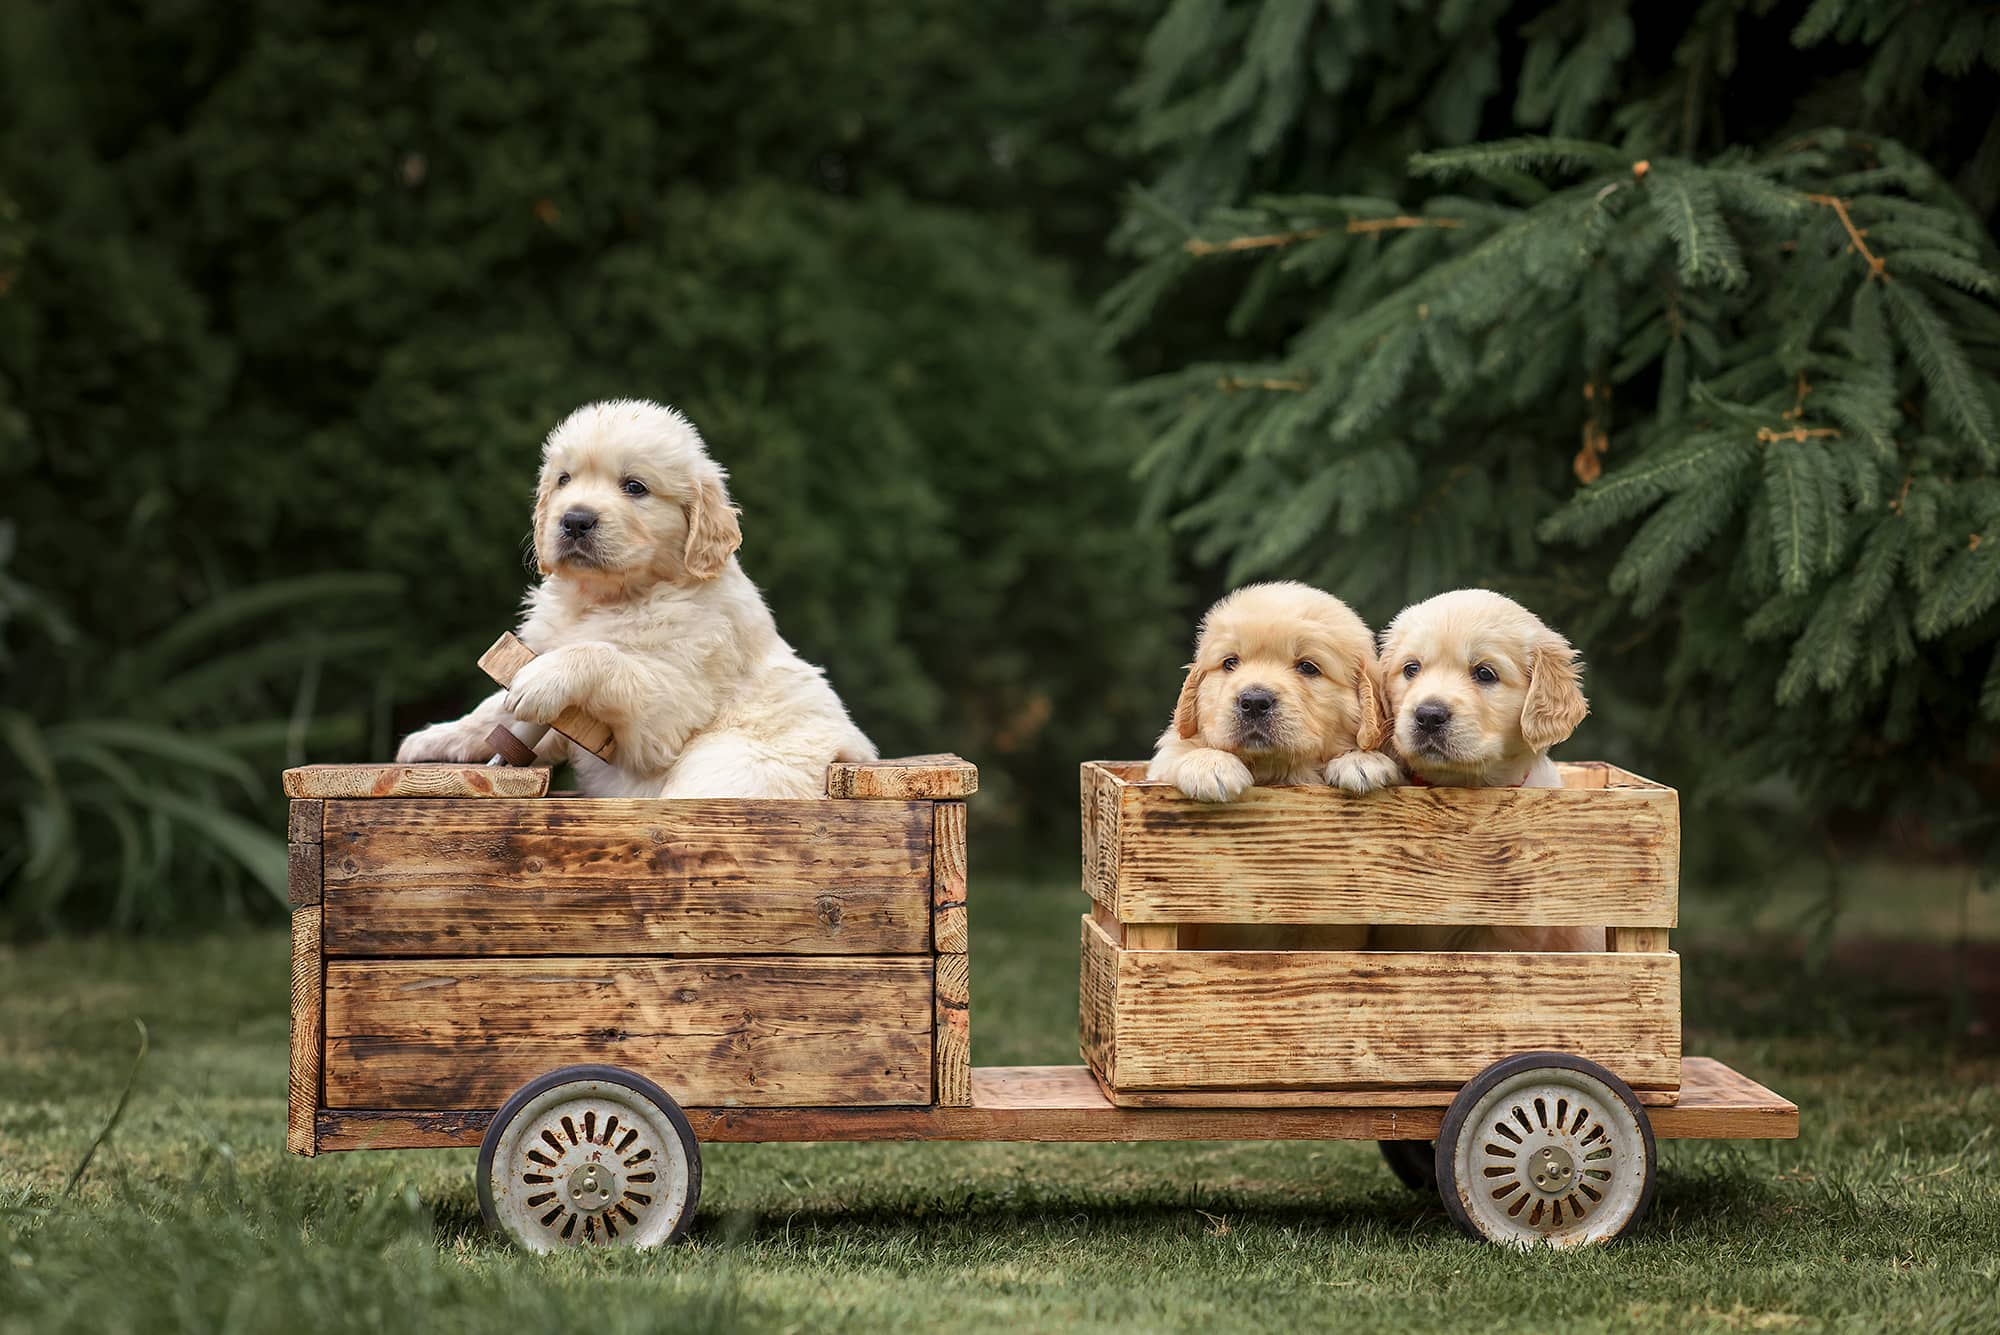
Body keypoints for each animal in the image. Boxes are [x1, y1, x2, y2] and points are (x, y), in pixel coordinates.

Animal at [398, 395, 876, 791]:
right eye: (564, 480)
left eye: (634, 487)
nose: (575, 520)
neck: (609, 596)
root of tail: (849, 754)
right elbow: (497, 710)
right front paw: (433, 738)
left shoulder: (669, 705)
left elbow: (602, 656)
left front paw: (547, 677)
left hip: (730, 765)